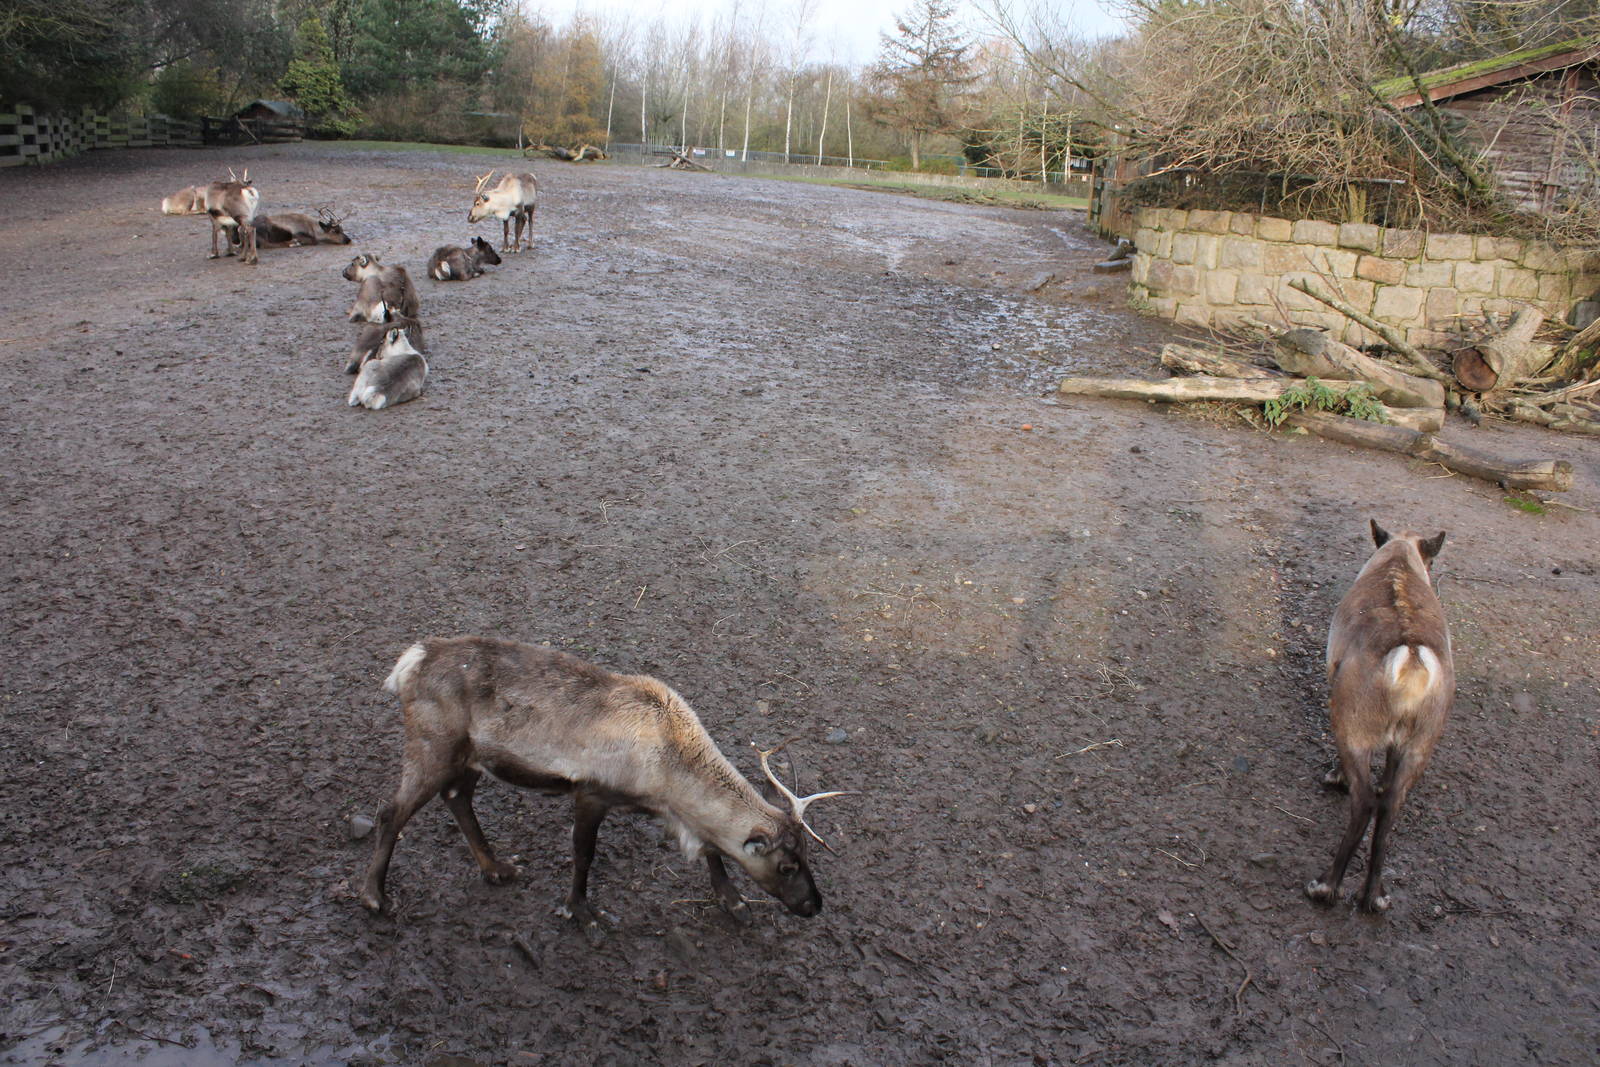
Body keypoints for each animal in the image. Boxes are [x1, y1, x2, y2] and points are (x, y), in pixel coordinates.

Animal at [358, 637, 851, 929]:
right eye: (786, 866)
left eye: (807, 855)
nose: (814, 905)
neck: (669, 762)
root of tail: (409, 663)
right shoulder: (592, 791)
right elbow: (583, 853)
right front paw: (579, 908)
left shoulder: (668, 810)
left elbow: (710, 847)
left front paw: (733, 901)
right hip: (433, 745)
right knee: (390, 810)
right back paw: (374, 897)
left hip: (469, 758)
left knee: (457, 798)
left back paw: (496, 868)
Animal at [1306, 520, 1453, 914]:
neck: (1400, 555)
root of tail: (1412, 659)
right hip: (1421, 742)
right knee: (1389, 805)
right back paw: (1375, 894)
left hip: (1353, 726)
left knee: (1364, 801)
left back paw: (1326, 886)